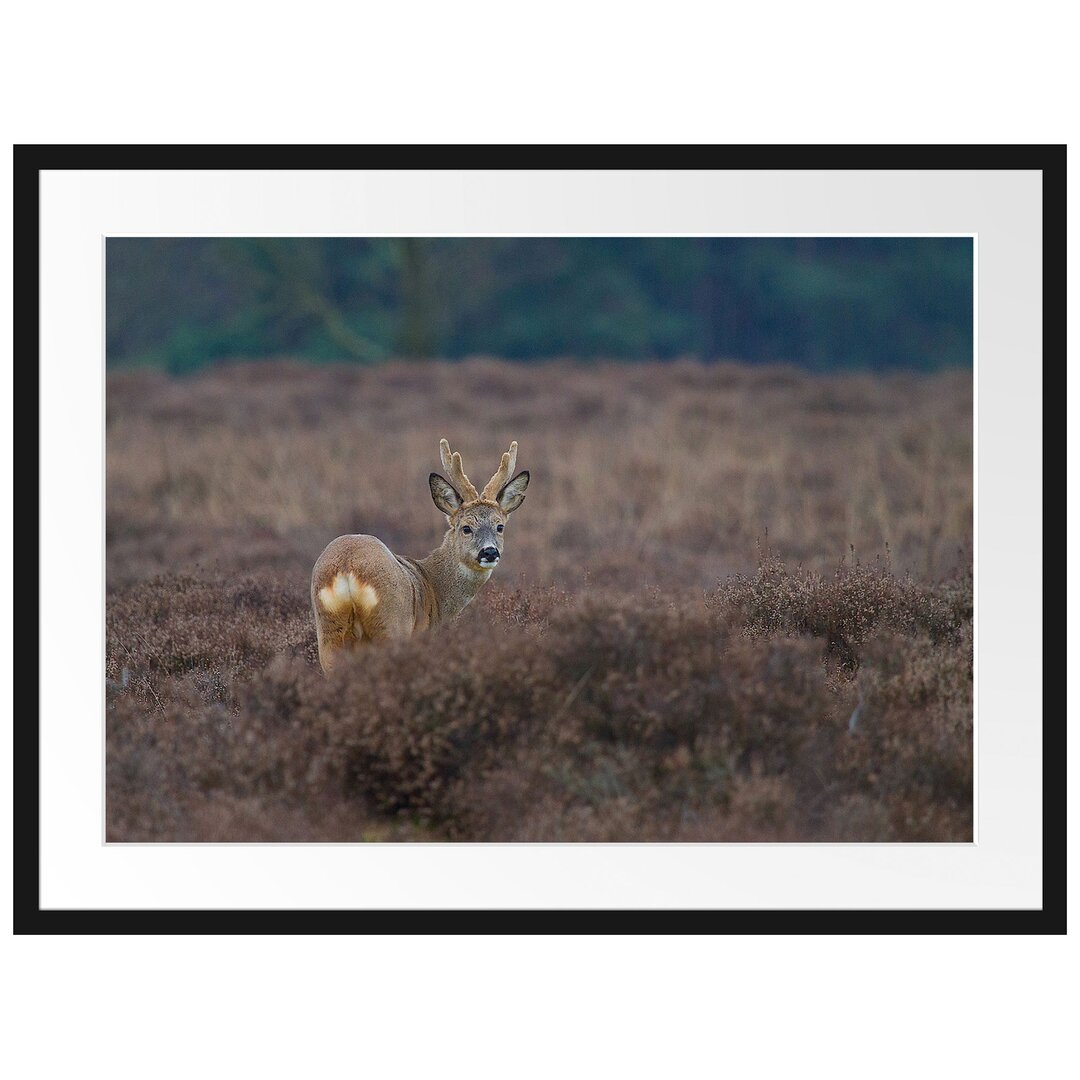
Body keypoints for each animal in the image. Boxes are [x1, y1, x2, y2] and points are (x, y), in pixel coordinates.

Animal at [311, 438, 529, 673]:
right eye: (466, 528)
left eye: (500, 526)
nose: (489, 552)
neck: (434, 586)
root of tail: (347, 568)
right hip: (391, 624)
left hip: (329, 631)